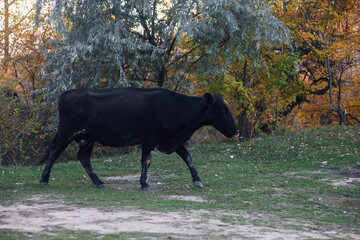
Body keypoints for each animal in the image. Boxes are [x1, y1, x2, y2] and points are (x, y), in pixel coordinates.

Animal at [38, 87, 238, 189]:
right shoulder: (149, 138)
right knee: (54, 153)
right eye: (223, 109)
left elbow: (188, 157)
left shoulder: (170, 139)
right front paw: (143, 184)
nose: (236, 131)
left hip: (87, 137)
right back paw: (44, 180)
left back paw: (99, 182)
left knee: (83, 158)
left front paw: (197, 180)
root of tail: (67, 93)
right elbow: (145, 161)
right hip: (67, 132)